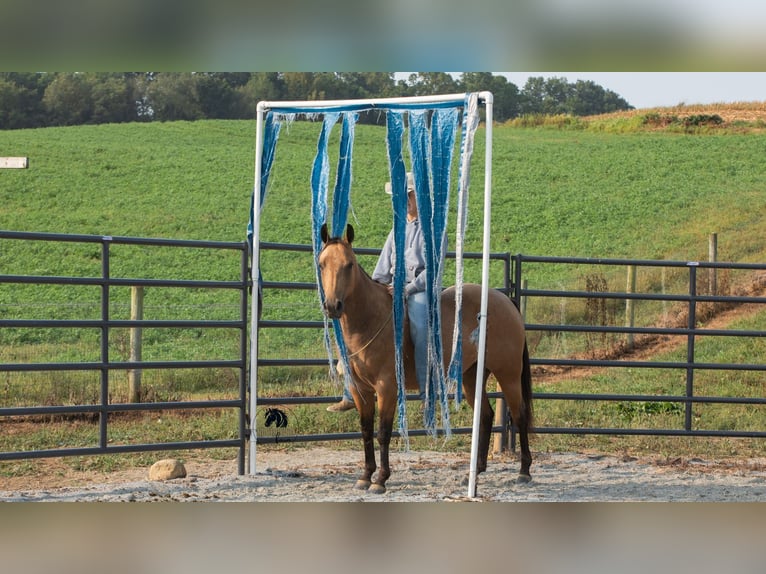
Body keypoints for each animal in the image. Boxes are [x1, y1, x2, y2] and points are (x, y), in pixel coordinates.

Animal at [318, 223, 533, 494]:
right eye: (322, 264)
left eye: (349, 265)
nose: (332, 306)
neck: (370, 319)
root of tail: (505, 301)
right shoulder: (360, 389)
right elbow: (366, 431)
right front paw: (365, 475)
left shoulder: (387, 388)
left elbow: (383, 433)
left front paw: (380, 479)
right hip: (471, 376)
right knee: (485, 416)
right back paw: (475, 474)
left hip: (509, 374)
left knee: (520, 414)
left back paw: (524, 471)